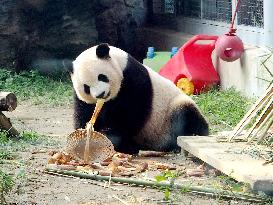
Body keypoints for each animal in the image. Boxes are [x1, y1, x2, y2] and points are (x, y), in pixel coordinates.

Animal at [66, 43, 208, 154]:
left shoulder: (133, 79)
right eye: (86, 87)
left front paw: (111, 136)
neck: (120, 62)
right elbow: (84, 111)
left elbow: (130, 114)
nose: (101, 94)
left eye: (102, 77)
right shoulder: (82, 98)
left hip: (172, 110)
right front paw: (85, 136)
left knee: (187, 116)